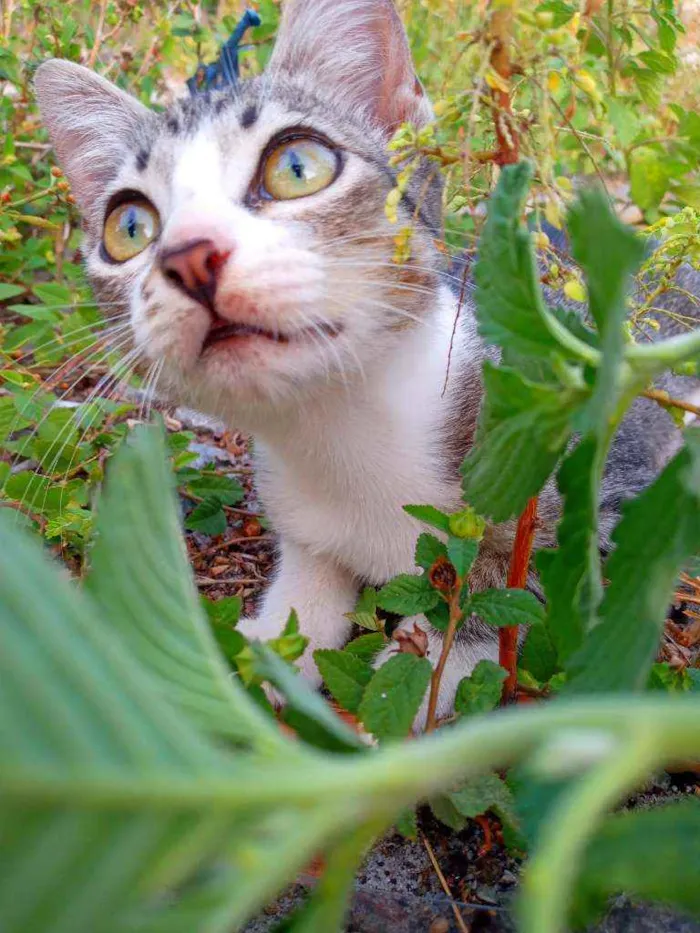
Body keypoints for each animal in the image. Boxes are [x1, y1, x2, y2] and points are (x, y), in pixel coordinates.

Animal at [37, 0, 696, 724]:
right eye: (129, 227)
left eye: (298, 166)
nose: (188, 254)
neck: (343, 429)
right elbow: (307, 586)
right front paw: (264, 647)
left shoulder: (596, 499)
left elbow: (511, 588)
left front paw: (422, 675)